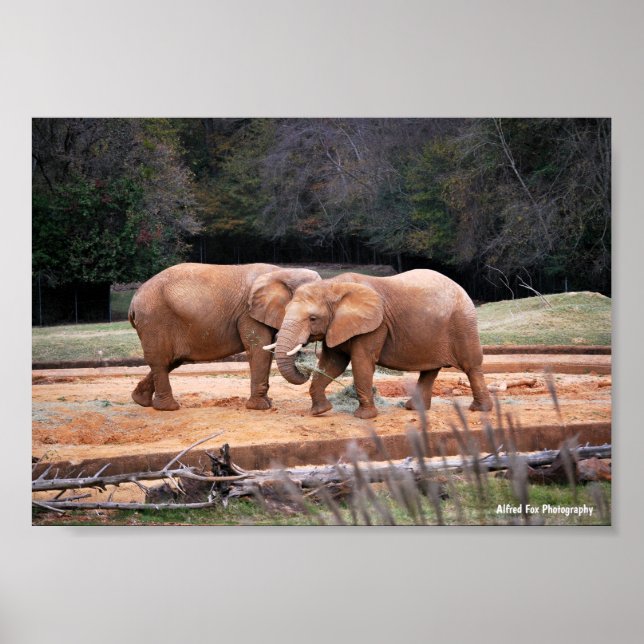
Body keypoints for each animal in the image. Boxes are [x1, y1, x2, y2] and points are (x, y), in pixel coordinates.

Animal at [128, 263, 320, 411]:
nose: (305, 363)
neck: (283, 271)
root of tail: (133, 301)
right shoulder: (248, 314)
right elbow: (259, 350)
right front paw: (261, 407)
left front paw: (267, 403)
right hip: (155, 320)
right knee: (161, 361)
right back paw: (168, 408)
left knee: (171, 361)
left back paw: (140, 400)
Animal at [271, 269, 493, 419]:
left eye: (313, 319)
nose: (302, 367)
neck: (332, 286)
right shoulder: (337, 325)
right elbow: (331, 364)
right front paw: (320, 411)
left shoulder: (375, 325)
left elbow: (361, 363)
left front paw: (364, 417)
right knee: (429, 370)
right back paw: (413, 408)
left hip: (462, 323)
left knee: (471, 365)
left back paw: (480, 409)